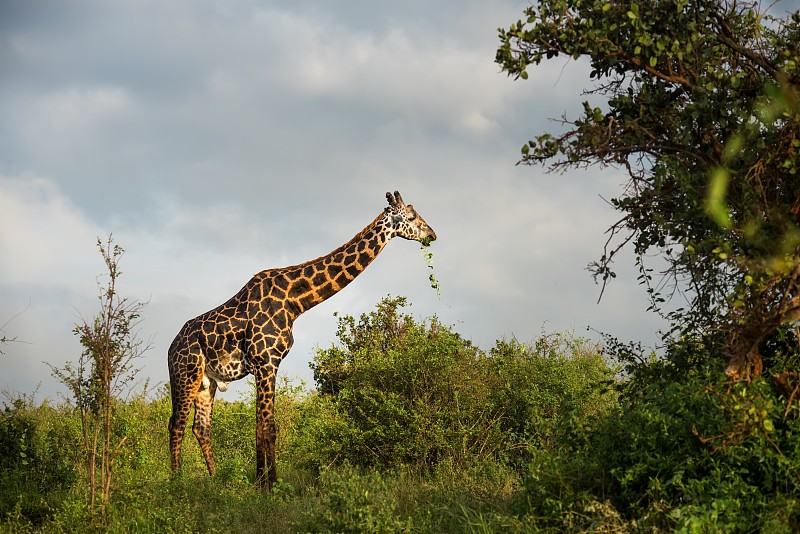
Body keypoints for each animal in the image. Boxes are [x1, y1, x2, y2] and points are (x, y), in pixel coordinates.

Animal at [167, 193, 438, 490]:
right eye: (411, 217)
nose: (432, 234)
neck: (295, 301)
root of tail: (170, 348)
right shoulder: (265, 361)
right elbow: (267, 426)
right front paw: (268, 486)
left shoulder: (268, 364)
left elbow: (263, 426)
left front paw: (262, 482)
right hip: (185, 374)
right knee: (176, 424)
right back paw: (176, 483)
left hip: (207, 382)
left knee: (201, 427)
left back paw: (214, 480)